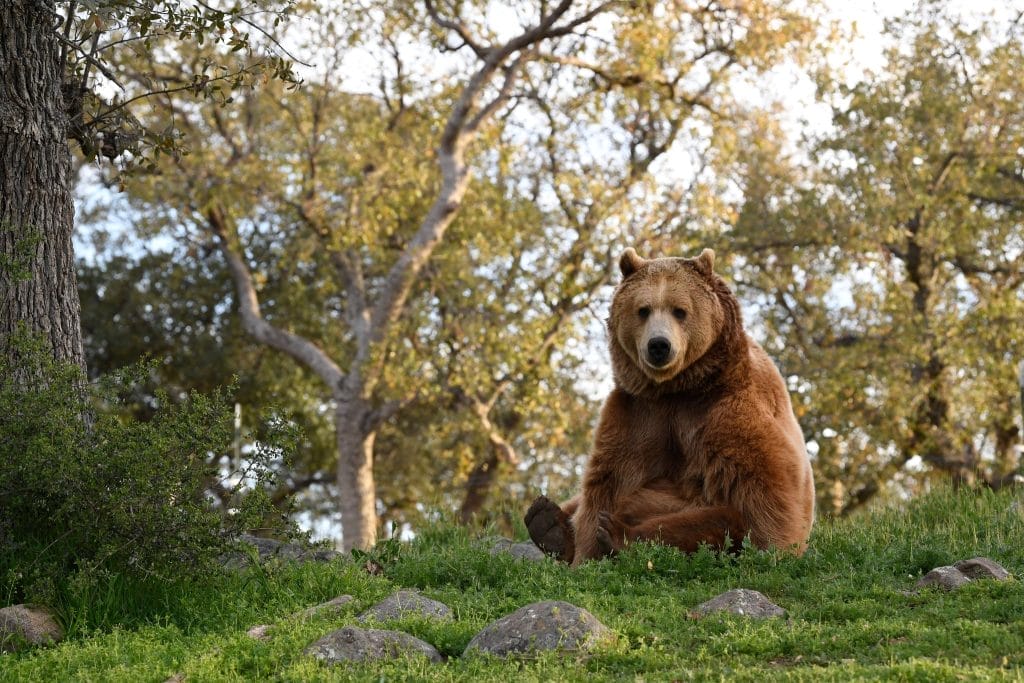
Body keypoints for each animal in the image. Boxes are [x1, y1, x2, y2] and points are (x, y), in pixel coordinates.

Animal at [525, 247, 815, 565]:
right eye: (643, 310)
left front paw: (773, 550)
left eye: (680, 310)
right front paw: (585, 555)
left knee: (718, 520)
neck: (678, 388)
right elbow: (608, 480)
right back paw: (546, 521)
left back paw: (618, 534)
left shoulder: (725, 409)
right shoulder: (640, 413)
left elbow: (763, 485)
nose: (659, 345)